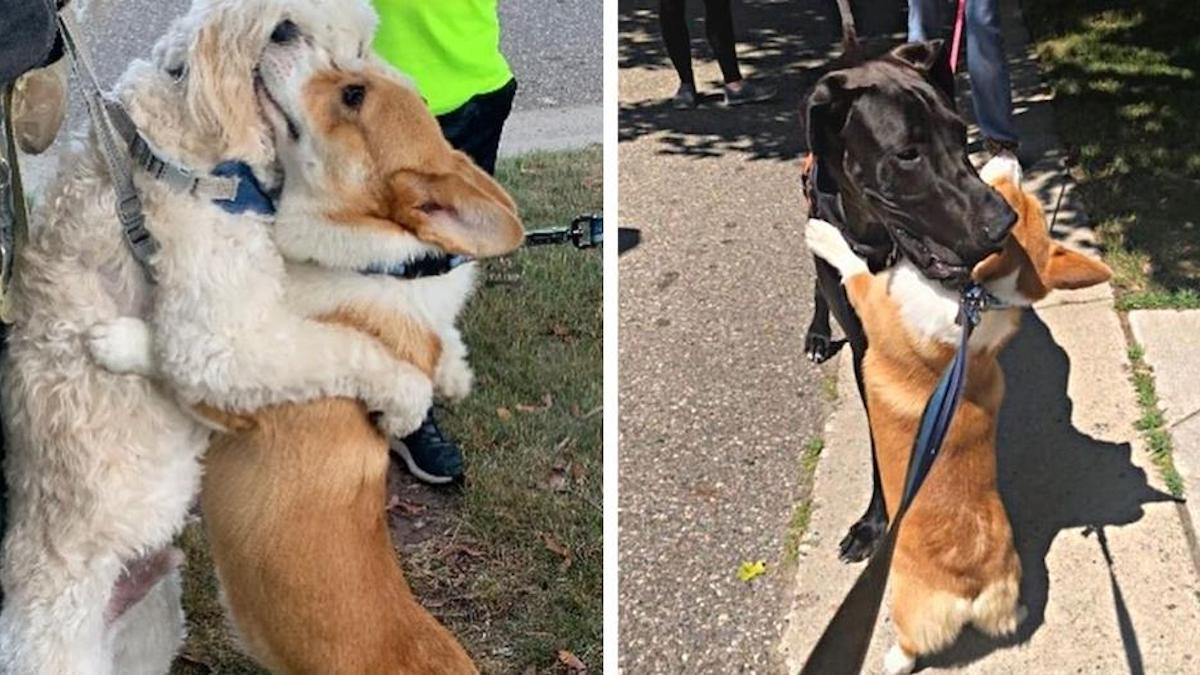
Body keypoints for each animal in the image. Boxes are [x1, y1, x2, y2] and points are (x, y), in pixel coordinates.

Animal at [87, 52, 520, 667]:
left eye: (353, 95)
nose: (286, 35)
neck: (362, 264)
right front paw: (453, 372)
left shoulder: (241, 382)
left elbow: (182, 352)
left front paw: (118, 340)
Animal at [801, 39, 1017, 559]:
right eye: (907, 154)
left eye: (960, 133)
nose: (1004, 223)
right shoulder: (867, 352)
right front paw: (875, 522)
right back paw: (817, 334)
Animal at [801, 164, 1108, 672]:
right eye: (1019, 196)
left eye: (1005, 194)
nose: (1007, 155)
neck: (979, 299)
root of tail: (976, 590)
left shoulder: (877, 301)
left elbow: (855, 267)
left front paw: (824, 234)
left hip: (907, 606)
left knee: (913, 642)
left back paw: (893, 659)